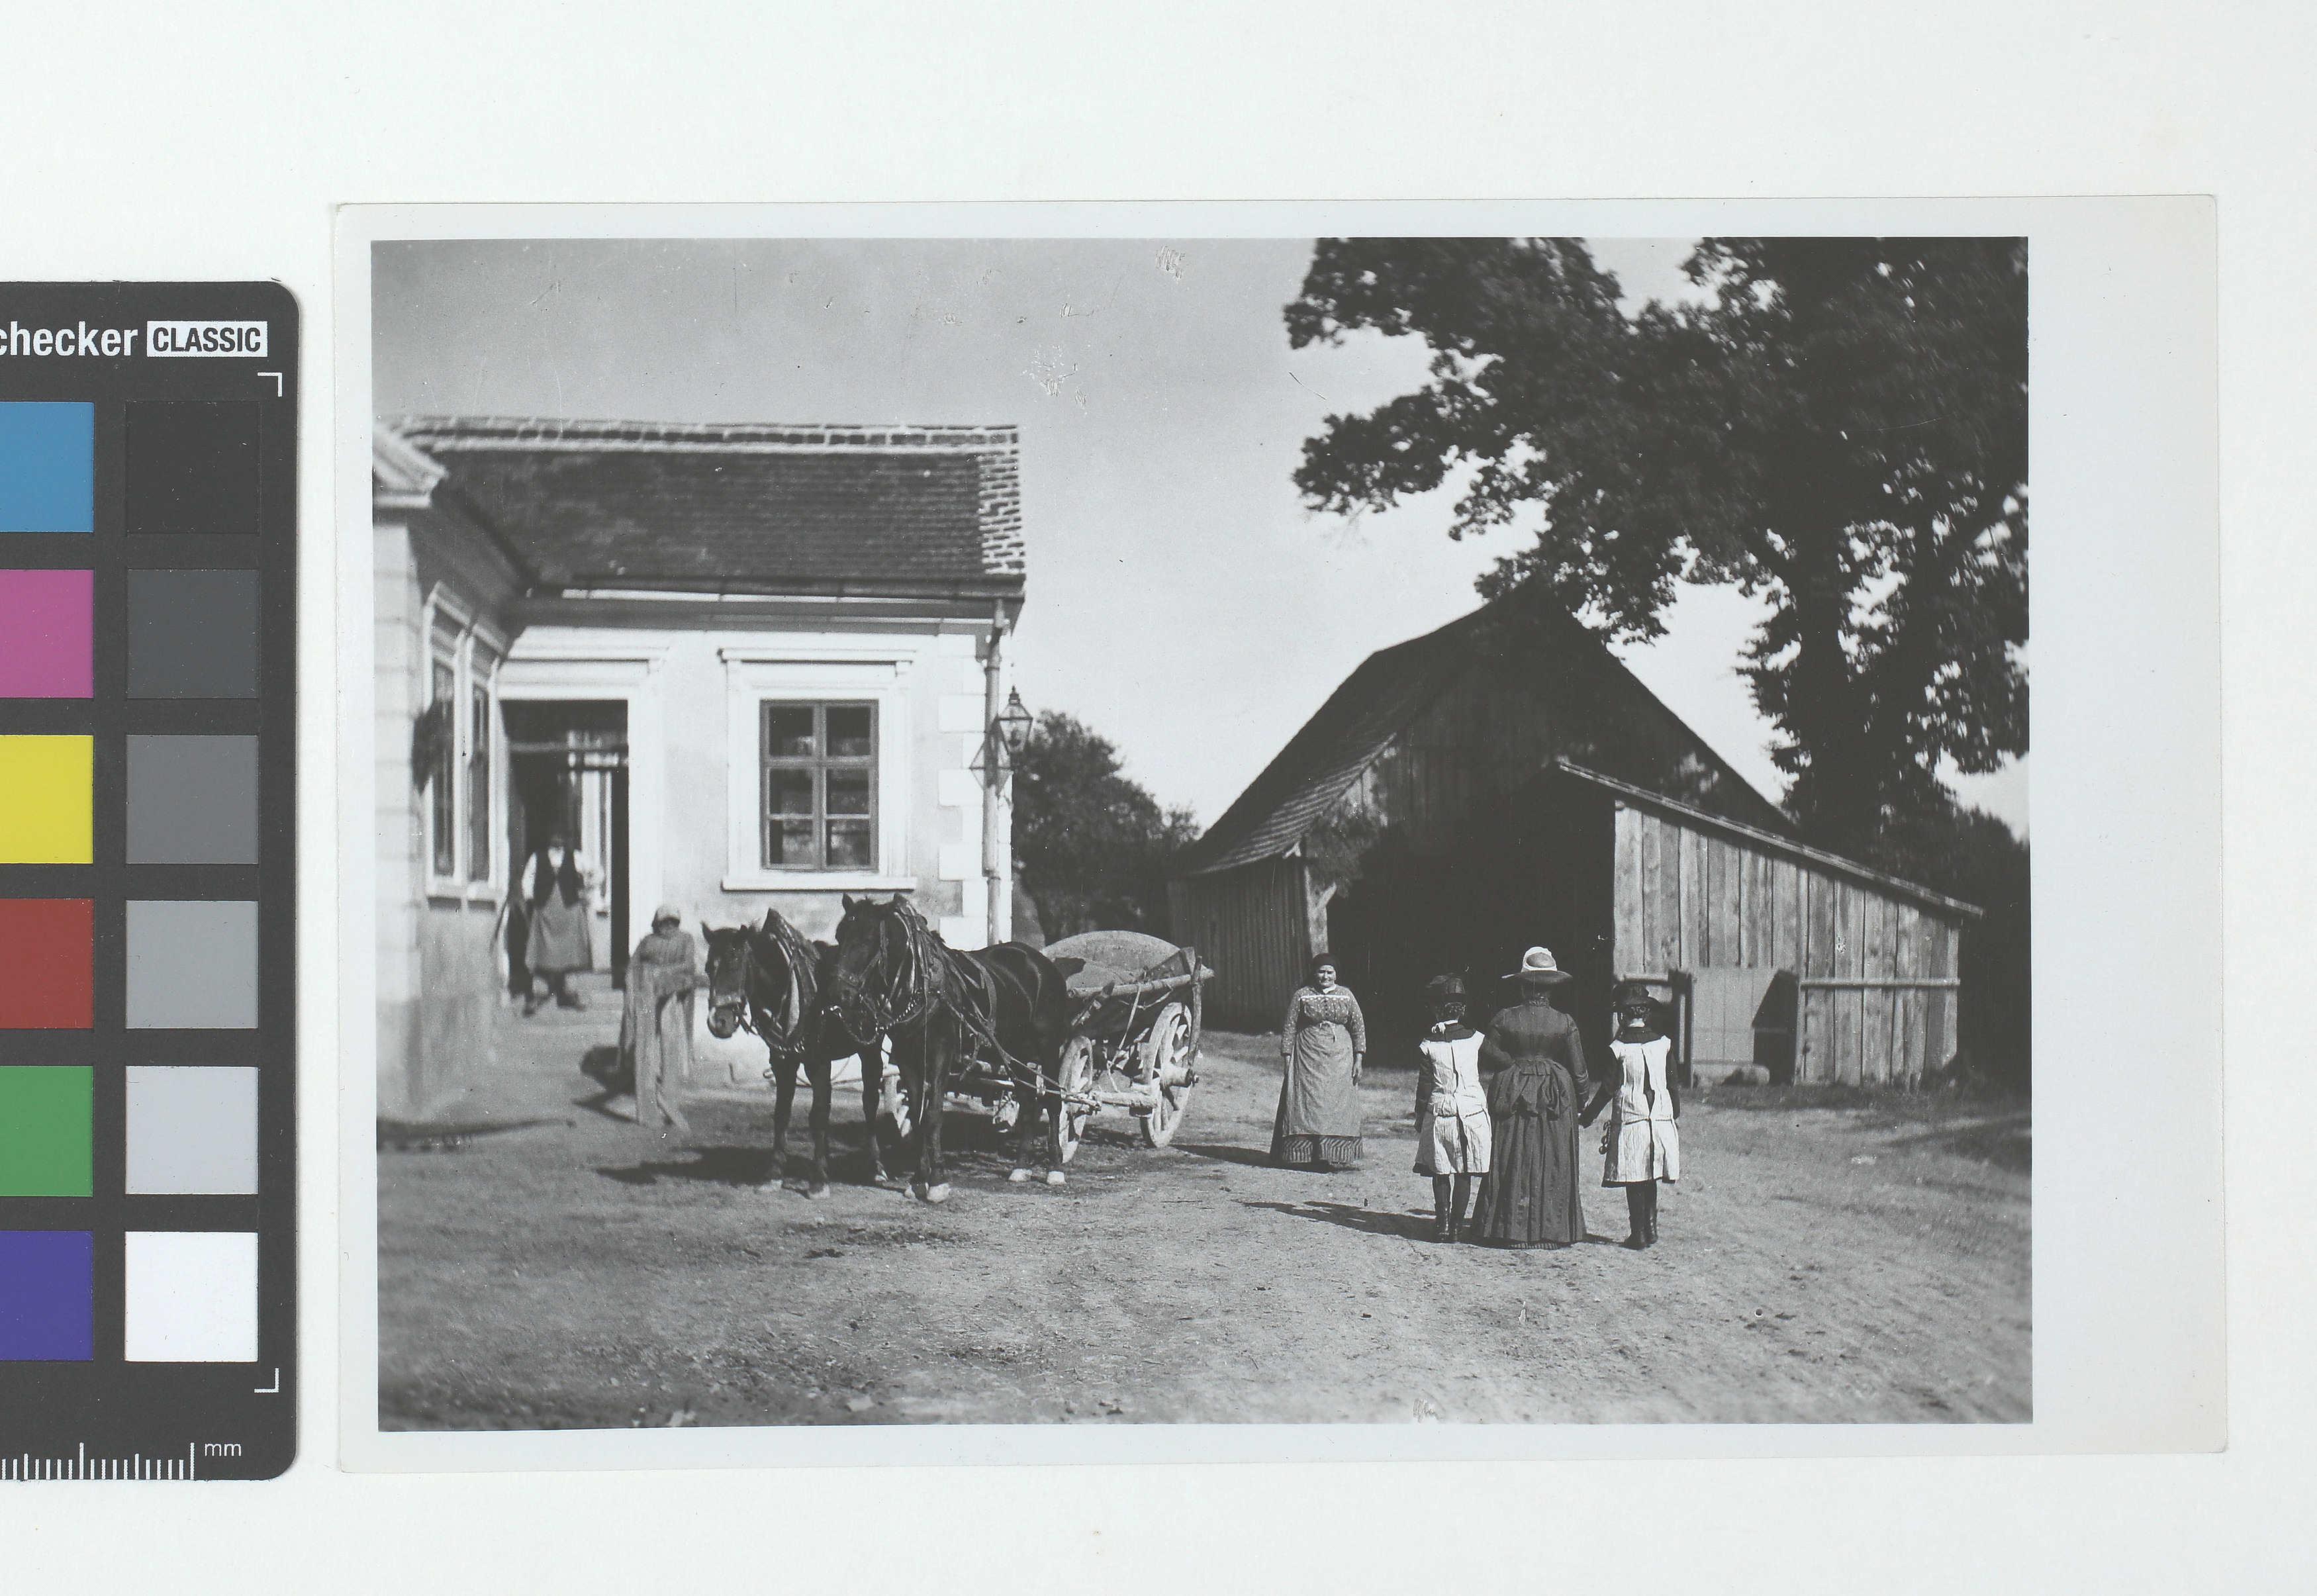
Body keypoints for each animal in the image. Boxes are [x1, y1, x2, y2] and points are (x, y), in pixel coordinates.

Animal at [695, 908, 885, 1195]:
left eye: (735, 965)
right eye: (708, 967)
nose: (719, 1022)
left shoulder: (819, 1062)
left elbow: (818, 1115)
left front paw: (819, 1178)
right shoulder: (783, 1062)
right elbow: (782, 1113)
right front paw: (774, 1172)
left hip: (870, 1049)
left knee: (870, 1102)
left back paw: (875, 1166)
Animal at [829, 889, 1080, 1204]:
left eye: (866, 940)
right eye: (839, 936)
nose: (839, 993)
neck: (919, 984)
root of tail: (1043, 963)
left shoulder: (941, 1052)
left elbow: (934, 1113)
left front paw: (937, 1180)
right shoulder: (909, 1057)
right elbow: (917, 1115)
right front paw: (918, 1179)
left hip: (1047, 1046)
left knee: (1055, 1101)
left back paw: (1055, 1167)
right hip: (1015, 1052)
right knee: (1026, 1098)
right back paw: (1021, 1165)